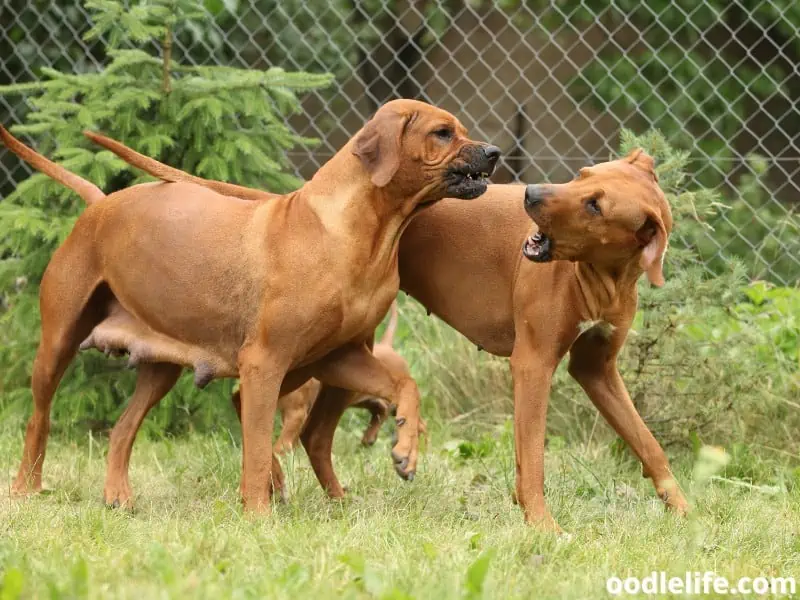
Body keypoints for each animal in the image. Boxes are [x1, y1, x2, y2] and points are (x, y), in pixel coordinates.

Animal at [0, 101, 500, 512]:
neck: (358, 233)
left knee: (123, 429)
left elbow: (405, 386)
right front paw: (258, 514)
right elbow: (258, 447)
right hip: (58, 343)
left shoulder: (340, 357)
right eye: (442, 133)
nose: (494, 152)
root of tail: (100, 202)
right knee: (39, 419)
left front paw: (406, 447)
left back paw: (118, 495)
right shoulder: (264, 361)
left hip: (171, 365)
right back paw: (27, 488)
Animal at [79, 138, 688, 532]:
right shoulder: (533, 364)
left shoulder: (596, 370)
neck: (602, 275)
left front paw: (679, 506)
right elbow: (532, 459)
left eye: (595, 204)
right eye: (582, 176)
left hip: (340, 353)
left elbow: (647, 442)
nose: (531, 194)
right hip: (313, 353)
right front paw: (541, 523)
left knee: (310, 431)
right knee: (259, 405)